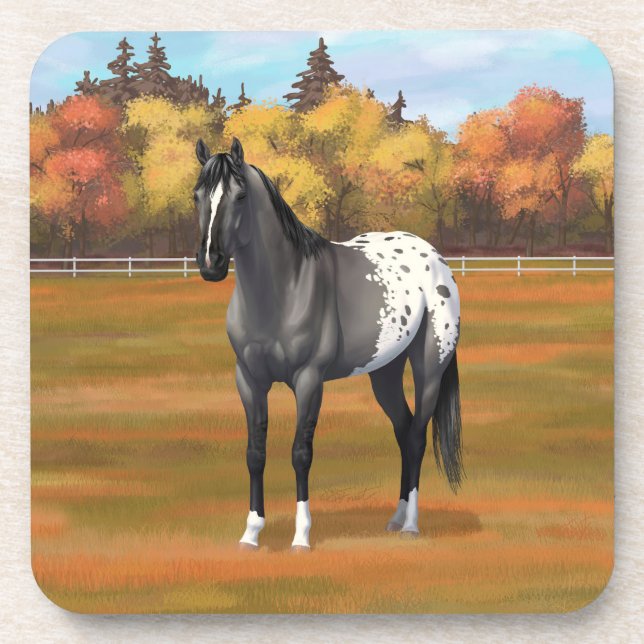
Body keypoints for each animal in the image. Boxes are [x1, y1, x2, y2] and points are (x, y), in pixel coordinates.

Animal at [193, 137, 463, 550]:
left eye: (239, 196)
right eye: (196, 196)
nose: (211, 263)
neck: (284, 288)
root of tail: (435, 258)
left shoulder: (309, 381)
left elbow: (301, 454)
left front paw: (301, 537)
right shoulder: (249, 381)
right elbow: (255, 453)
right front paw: (251, 533)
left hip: (429, 367)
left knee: (416, 436)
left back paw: (411, 525)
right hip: (385, 372)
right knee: (403, 431)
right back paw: (395, 517)